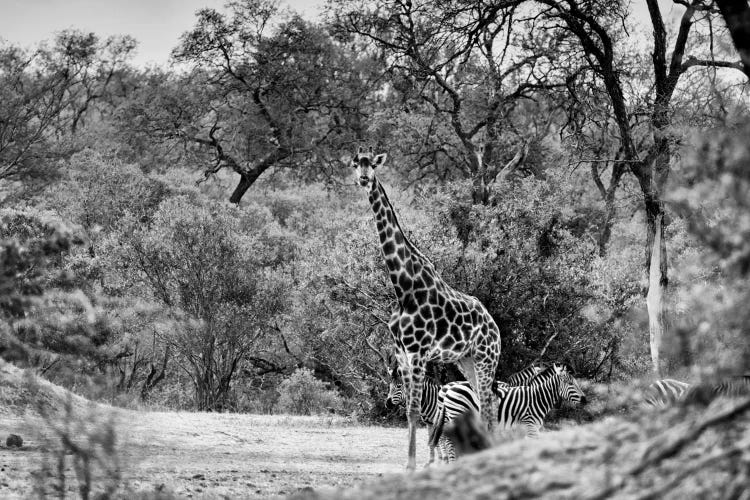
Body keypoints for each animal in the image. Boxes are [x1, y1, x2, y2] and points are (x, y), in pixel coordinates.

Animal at [352, 146, 506, 468]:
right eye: (354, 163)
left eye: (373, 164)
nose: (363, 179)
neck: (403, 286)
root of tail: (494, 326)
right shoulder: (402, 353)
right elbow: (410, 412)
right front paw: (411, 463)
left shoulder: (419, 352)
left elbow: (413, 409)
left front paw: (413, 465)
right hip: (466, 360)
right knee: (486, 402)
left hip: (486, 357)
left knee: (490, 405)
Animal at [428, 364, 588, 464]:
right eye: (570, 383)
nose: (585, 400)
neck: (537, 398)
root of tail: (446, 390)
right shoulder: (530, 426)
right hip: (457, 417)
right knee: (450, 443)